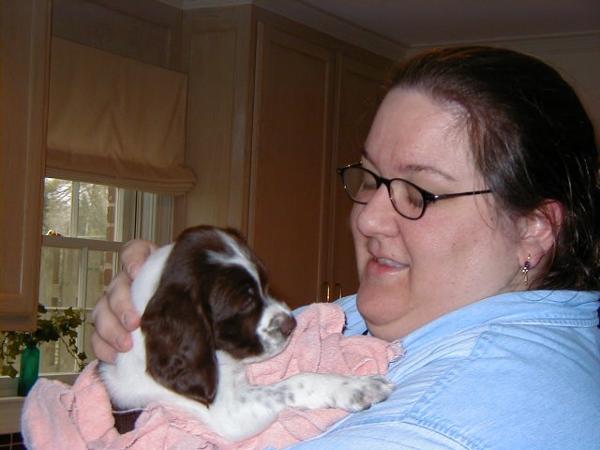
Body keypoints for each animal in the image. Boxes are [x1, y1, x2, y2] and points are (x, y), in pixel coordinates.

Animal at [100, 225, 394, 441]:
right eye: (244, 303)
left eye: (266, 284)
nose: (290, 324)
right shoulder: (229, 414)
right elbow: (296, 382)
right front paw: (359, 387)